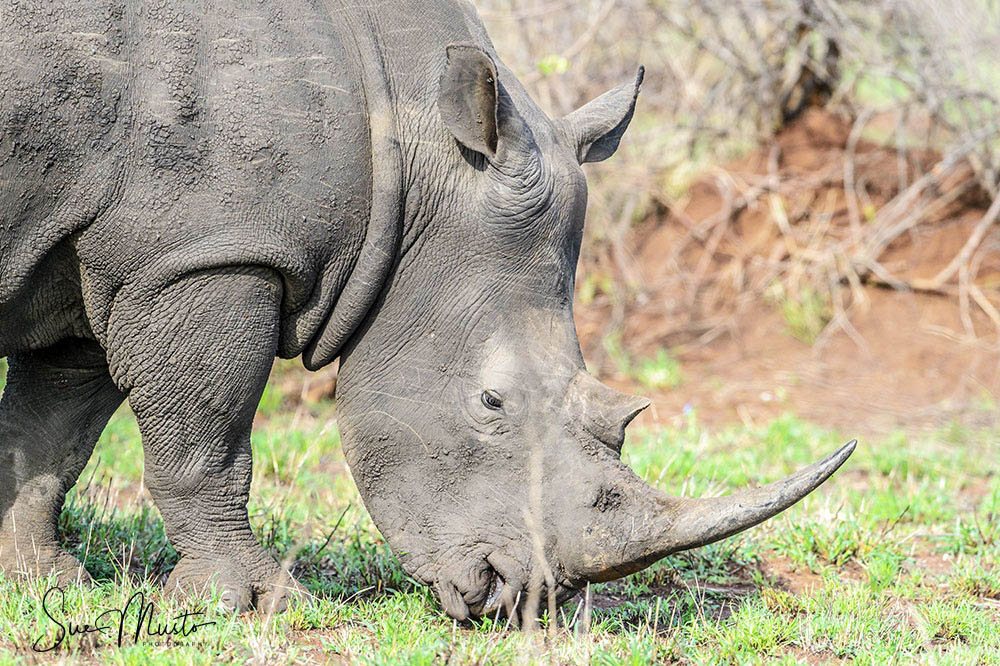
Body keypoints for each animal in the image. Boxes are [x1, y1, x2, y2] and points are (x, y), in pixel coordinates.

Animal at [0, 0, 855, 620]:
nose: (516, 597)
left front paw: (37, 580)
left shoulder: (106, 261)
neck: (408, 151)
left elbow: (51, 434)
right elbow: (206, 443)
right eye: (491, 402)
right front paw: (252, 602)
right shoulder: (201, 253)